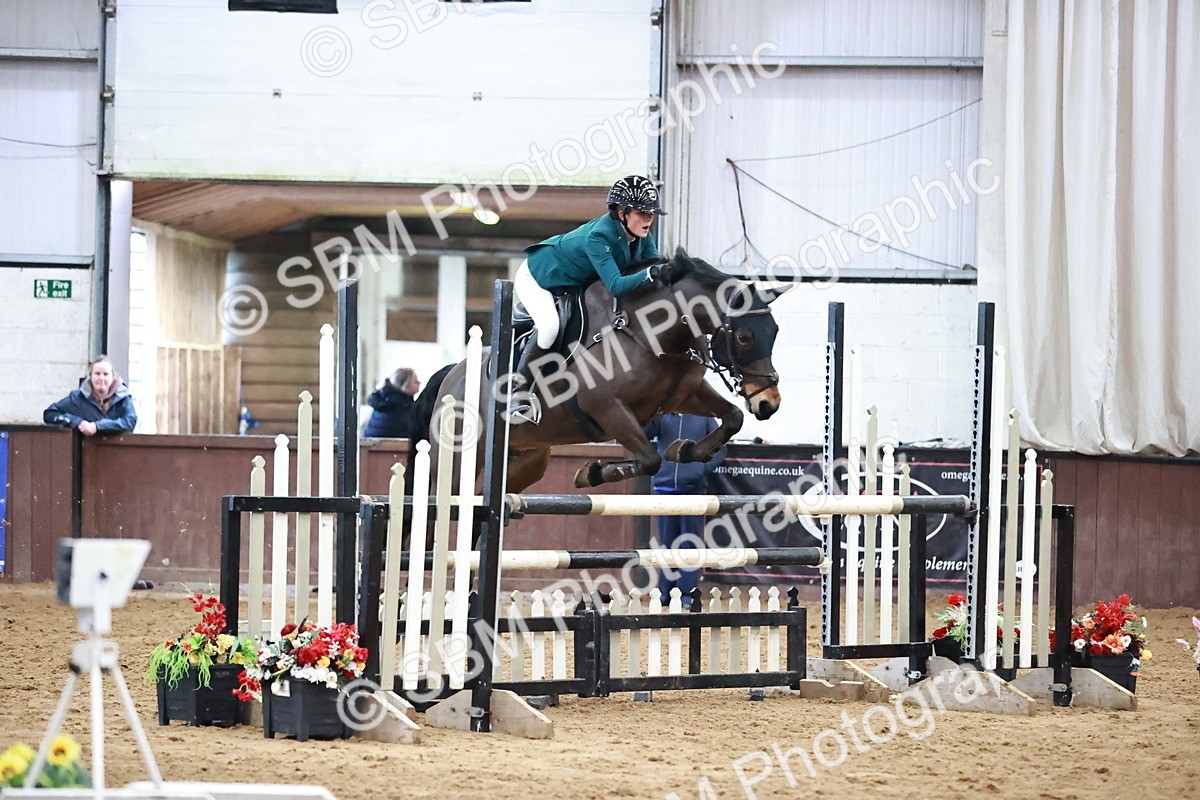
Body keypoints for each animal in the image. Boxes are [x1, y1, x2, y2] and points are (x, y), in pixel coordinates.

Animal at [412, 248, 788, 494]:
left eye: (776, 332)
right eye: (744, 336)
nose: (769, 403)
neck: (648, 332)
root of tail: (451, 375)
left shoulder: (684, 396)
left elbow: (732, 418)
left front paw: (684, 450)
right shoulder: (607, 409)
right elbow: (649, 460)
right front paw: (591, 473)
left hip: (525, 460)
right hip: (457, 458)